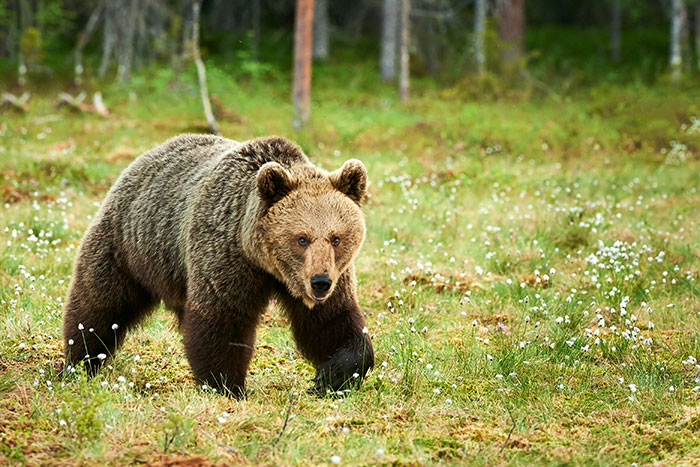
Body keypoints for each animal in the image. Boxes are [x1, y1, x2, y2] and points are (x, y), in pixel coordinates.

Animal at [62, 134, 374, 397]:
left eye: (336, 238)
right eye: (301, 239)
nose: (320, 282)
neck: (264, 263)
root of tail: (146, 156)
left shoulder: (332, 276)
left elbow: (331, 323)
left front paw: (331, 375)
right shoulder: (225, 255)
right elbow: (221, 320)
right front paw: (227, 385)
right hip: (129, 244)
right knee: (99, 303)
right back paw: (79, 362)